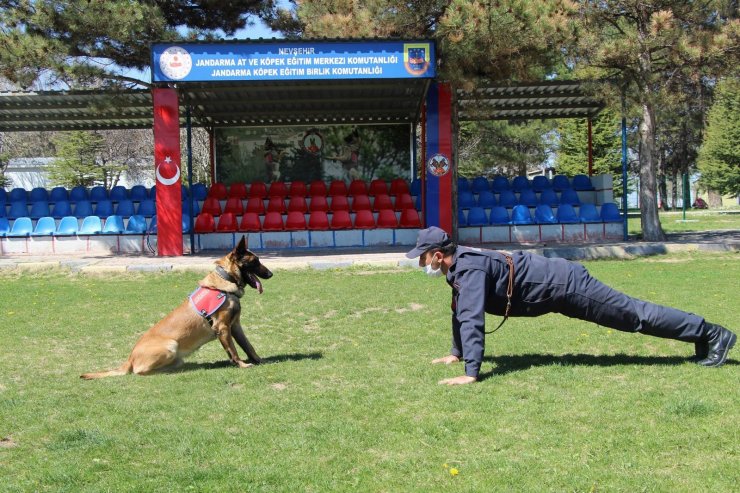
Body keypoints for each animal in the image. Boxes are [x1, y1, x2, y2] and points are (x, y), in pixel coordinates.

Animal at [81, 236, 272, 378]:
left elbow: (248, 346)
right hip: (171, 345)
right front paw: (241, 364)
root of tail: (130, 358)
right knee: (139, 372)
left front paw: (260, 360)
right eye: (255, 261)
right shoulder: (223, 327)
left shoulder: (235, 326)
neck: (225, 282)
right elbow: (232, 350)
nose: (270, 274)